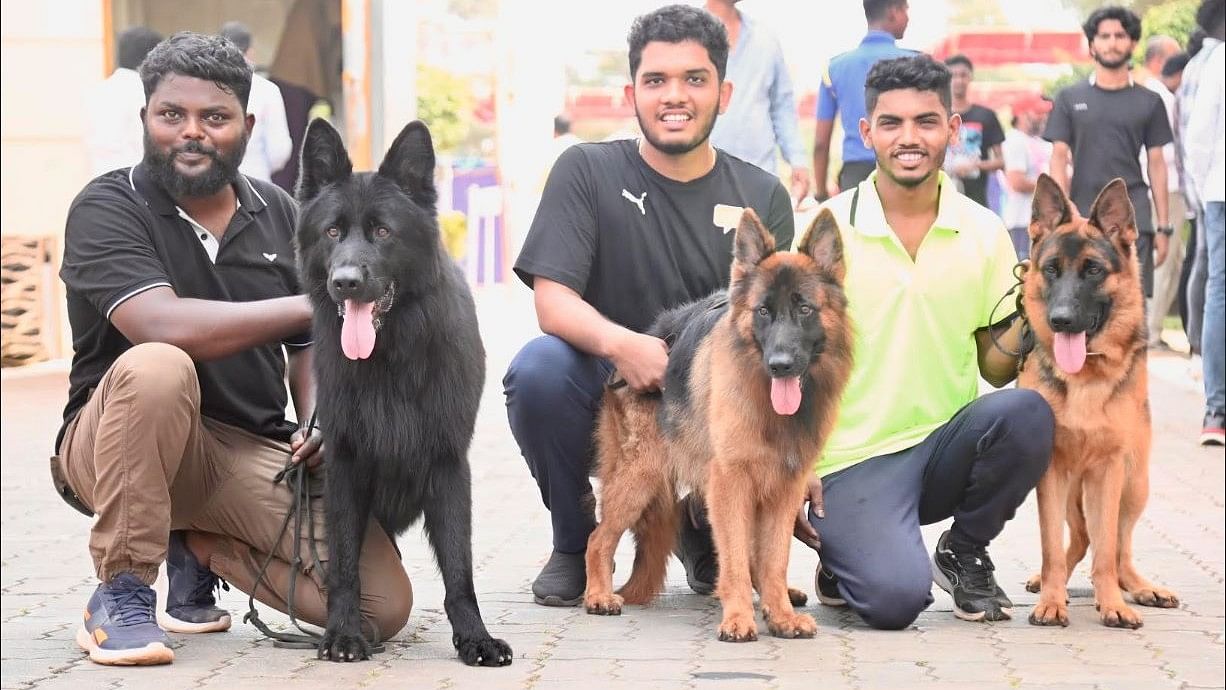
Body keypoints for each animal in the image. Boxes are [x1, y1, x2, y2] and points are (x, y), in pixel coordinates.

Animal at [296, 120, 512, 671]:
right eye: (332, 232)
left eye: (382, 232)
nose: (345, 282)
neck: (390, 358)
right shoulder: (345, 465)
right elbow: (344, 563)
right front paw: (343, 634)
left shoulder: (449, 465)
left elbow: (459, 567)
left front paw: (475, 637)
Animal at [583, 207, 853, 642]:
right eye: (763, 311)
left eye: (805, 310)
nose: (780, 365)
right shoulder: (730, 485)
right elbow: (736, 559)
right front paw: (739, 618)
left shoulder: (784, 488)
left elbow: (773, 558)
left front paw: (779, 616)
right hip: (642, 476)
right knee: (597, 539)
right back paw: (598, 596)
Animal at [1020, 175, 1181, 627]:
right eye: (1051, 269)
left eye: (1093, 269)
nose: (1060, 320)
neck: (1086, 379)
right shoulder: (1051, 471)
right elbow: (1051, 547)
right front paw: (1052, 601)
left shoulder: (1109, 470)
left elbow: (1107, 547)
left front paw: (1112, 604)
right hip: (1073, 492)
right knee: (1077, 539)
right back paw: (1049, 582)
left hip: (1134, 482)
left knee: (1115, 545)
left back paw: (1140, 588)